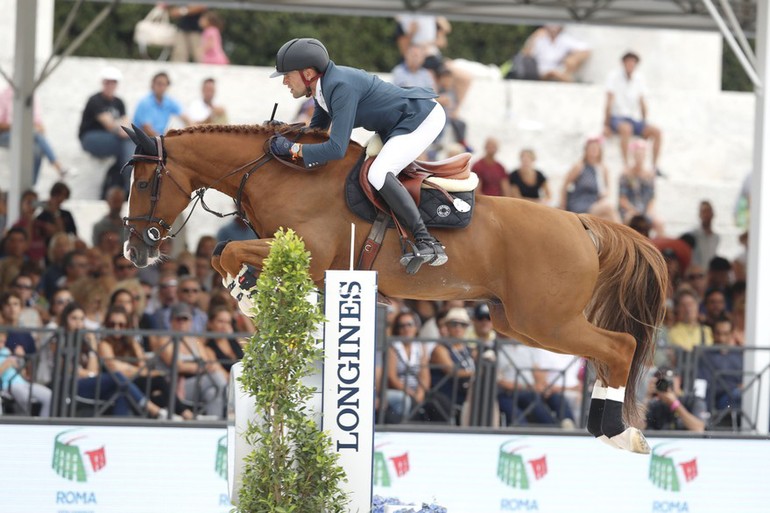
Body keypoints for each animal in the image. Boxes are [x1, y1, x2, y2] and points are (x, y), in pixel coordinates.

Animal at [121, 124, 664, 452]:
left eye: (146, 184)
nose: (135, 251)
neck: (280, 174)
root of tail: (581, 222)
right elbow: (219, 252)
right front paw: (250, 292)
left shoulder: (310, 253)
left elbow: (230, 252)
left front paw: (247, 294)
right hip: (521, 324)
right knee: (605, 352)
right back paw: (607, 428)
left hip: (546, 319)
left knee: (620, 345)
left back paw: (619, 433)